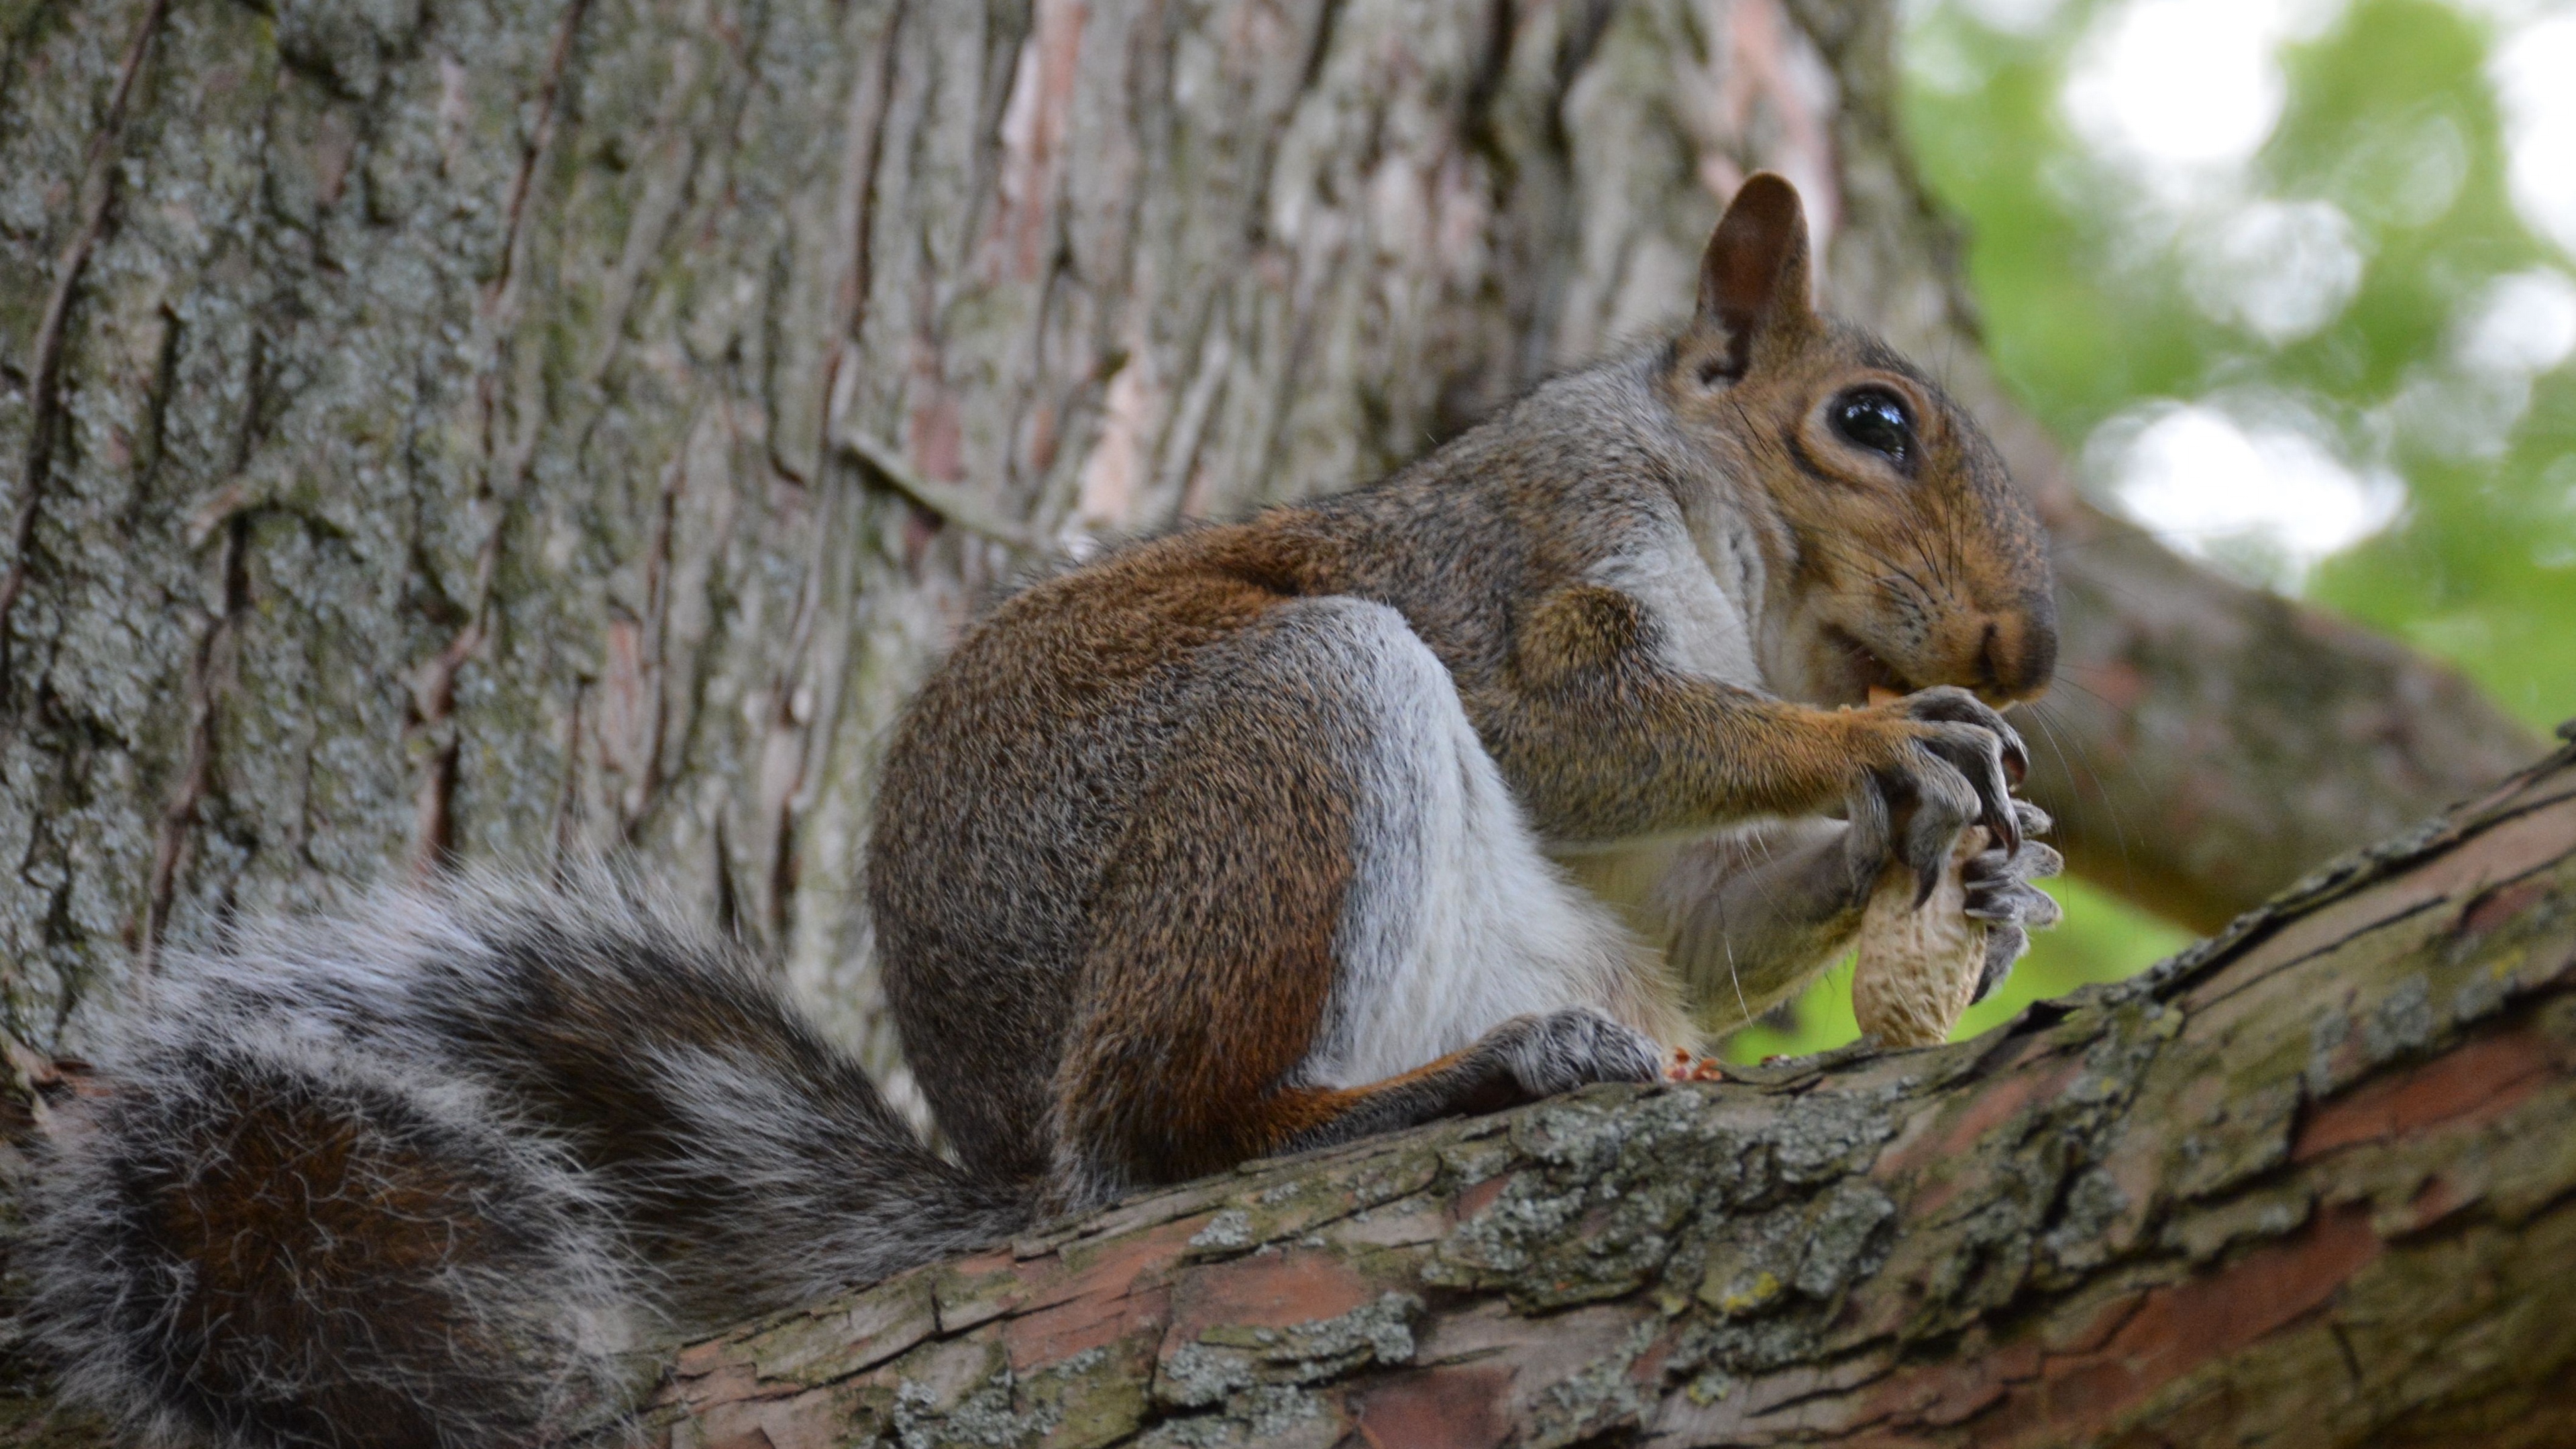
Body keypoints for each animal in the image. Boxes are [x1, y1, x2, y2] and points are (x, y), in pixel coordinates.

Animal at [20, 175, 2061, 1433]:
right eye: (1872, 423)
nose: (2024, 644)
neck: (1742, 570)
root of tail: (1004, 1166)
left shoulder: (1642, 883)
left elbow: (1698, 925)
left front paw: (1973, 884)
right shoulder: (1518, 563)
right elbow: (1570, 725)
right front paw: (1877, 750)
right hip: (1296, 728)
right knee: (1163, 1138)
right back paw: (1452, 1085)